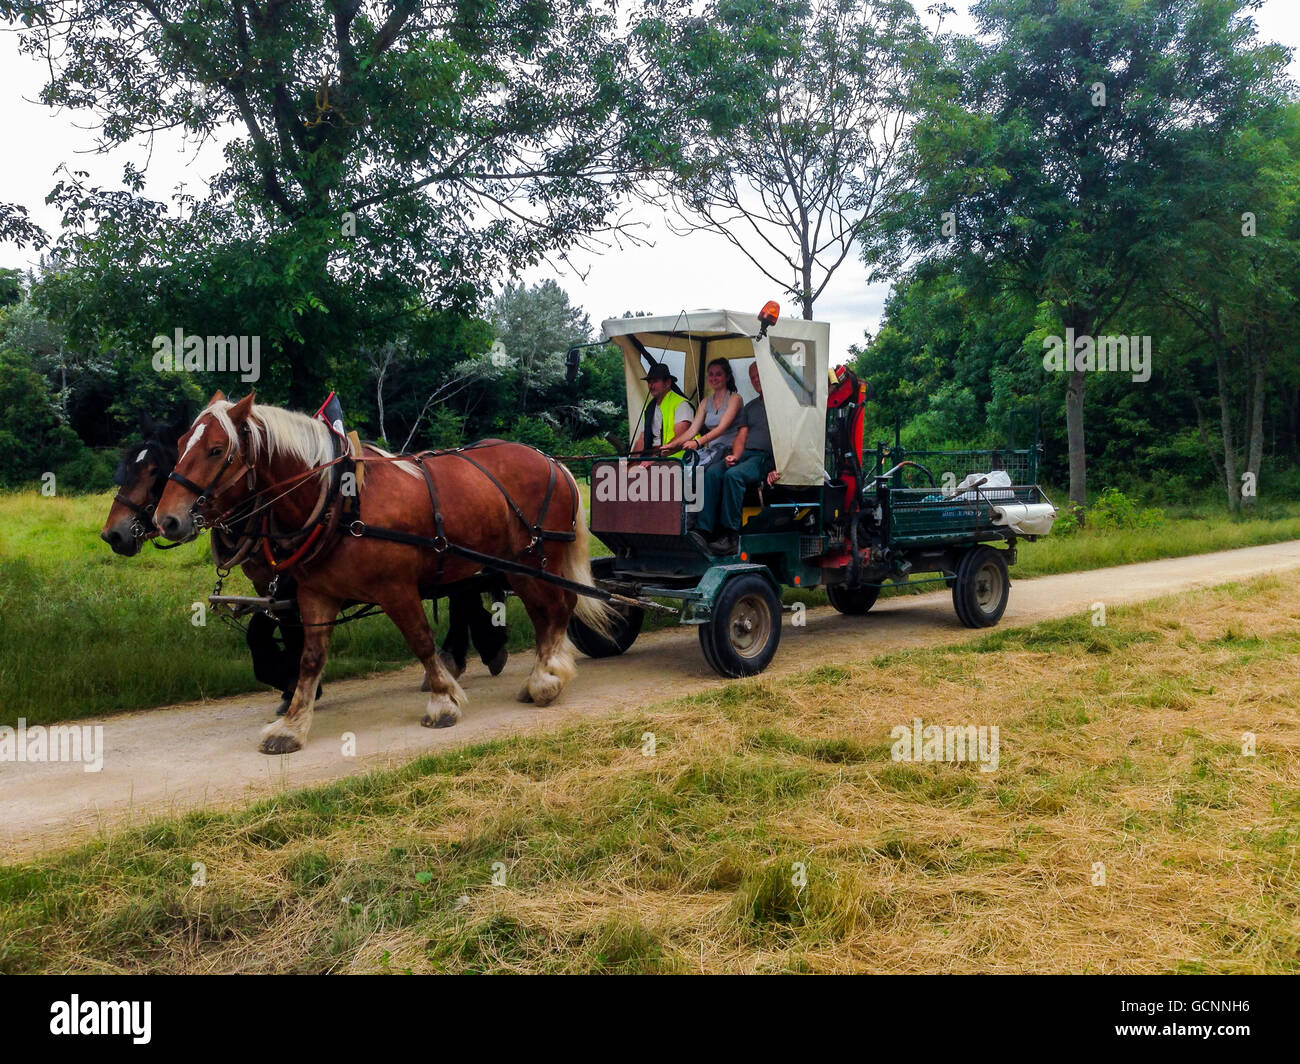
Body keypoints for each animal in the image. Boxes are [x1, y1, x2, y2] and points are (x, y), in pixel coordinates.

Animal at [153, 391, 610, 754]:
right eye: (180, 444)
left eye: (216, 449)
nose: (166, 519)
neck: (341, 501)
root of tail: (553, 462)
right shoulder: (315, 594)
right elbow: (310, 658)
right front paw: (293, 724)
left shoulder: (396, 589)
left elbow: (421, 641)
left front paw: (443, 699)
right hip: (515, 565)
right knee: (550, 610)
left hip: (534, 560)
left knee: (556, 609)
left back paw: (546, 678)